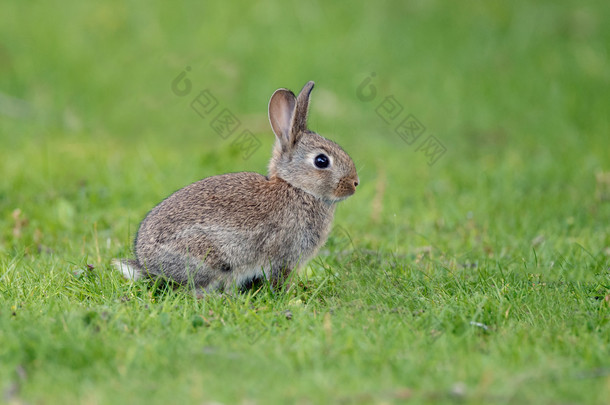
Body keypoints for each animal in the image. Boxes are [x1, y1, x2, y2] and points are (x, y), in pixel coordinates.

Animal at [112, 80, 358, 294]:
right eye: (321, 161)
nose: (355, 183)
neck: (296, 187)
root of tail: (148, 267)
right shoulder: (283, 256)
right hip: (208, 258)